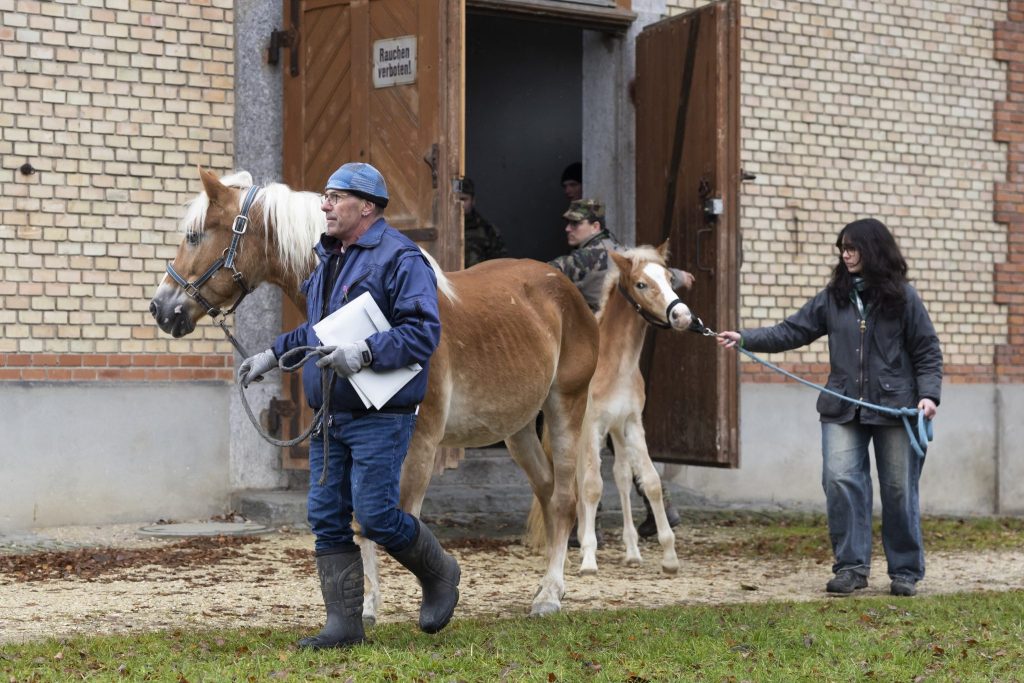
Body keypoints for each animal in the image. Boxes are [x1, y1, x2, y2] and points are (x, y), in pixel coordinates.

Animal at [149, 167, 599, 619]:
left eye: (194, 235)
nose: (160, 308)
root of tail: (563, 287)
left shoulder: (421, 444)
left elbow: (397, 519)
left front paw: (431, 598)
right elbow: (360, 525)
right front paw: (367, 604)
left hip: (566, 407)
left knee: (563, 498)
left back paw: (550, 594)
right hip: (517, 428)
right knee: (545, 490)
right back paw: (544, 585)